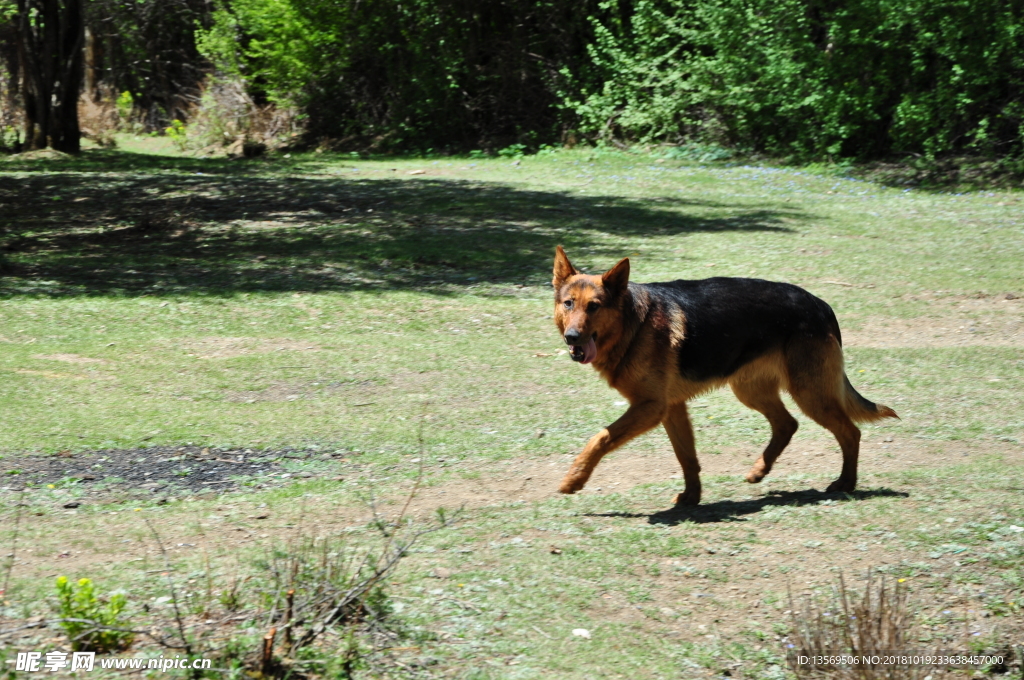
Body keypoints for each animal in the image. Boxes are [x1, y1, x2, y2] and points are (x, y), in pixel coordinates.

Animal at [552, 246, 897, 507]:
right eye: (568, 304)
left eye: (594, 307)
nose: (572, 338)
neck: (632, 326)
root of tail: (820, 304)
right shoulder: (671, 408)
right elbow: (687, 457)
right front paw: (691, 497)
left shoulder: (651, 407)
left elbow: (601, 437)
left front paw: (574, 479)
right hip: (751, 391)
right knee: (787, 424)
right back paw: (760, 470)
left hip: (810, 394)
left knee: (850, 432)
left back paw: (846, 482)